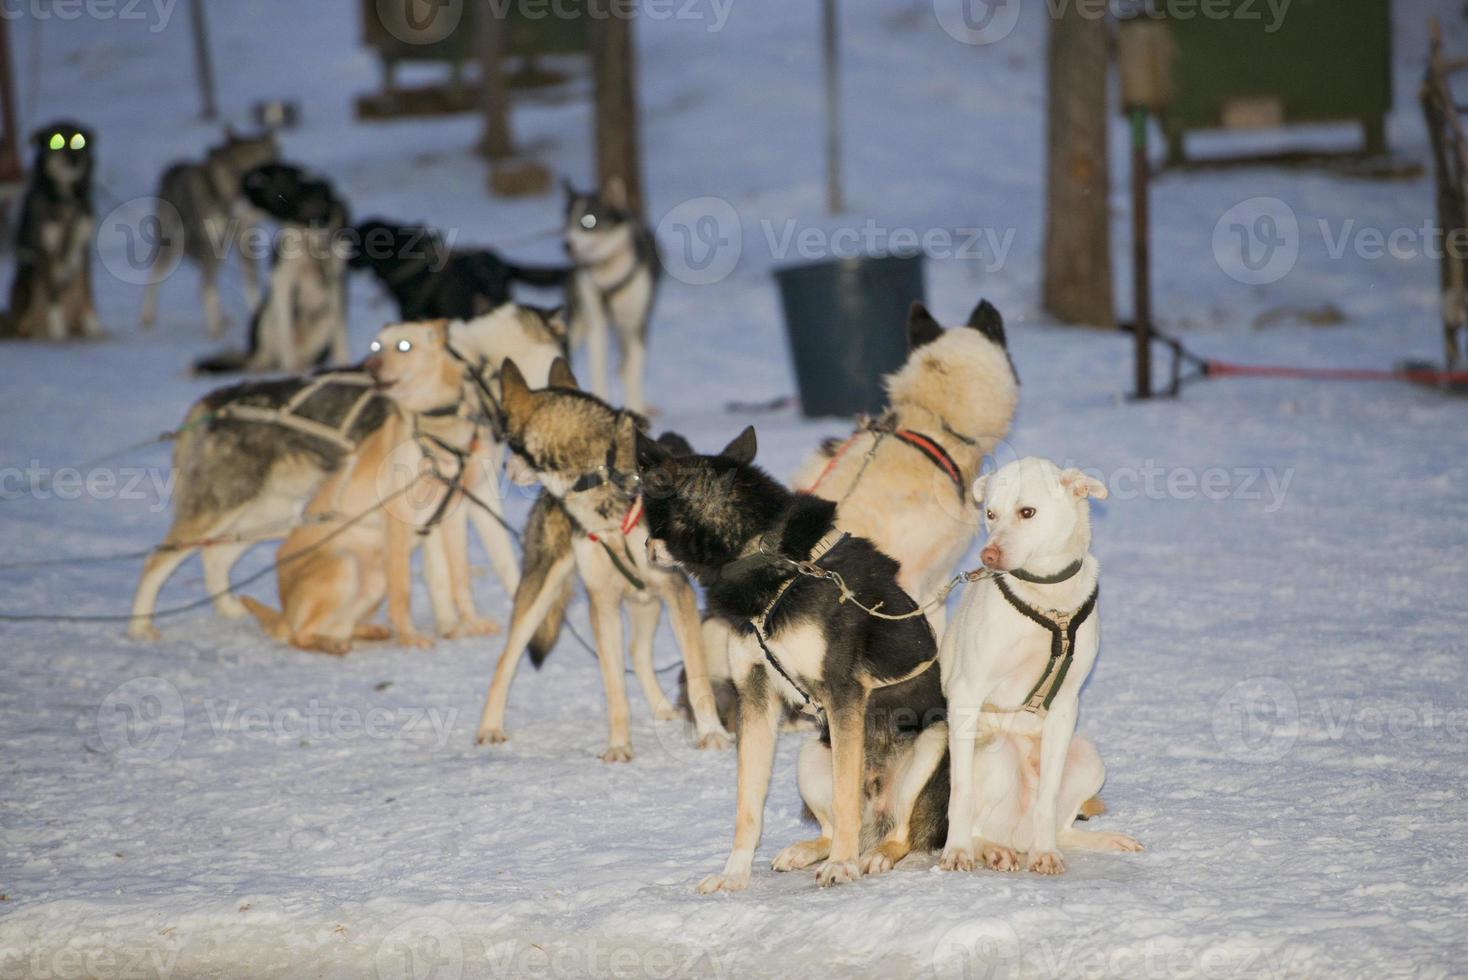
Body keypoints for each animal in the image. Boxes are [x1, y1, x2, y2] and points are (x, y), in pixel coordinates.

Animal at [2, 122, 99, 340]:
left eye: (79, 141)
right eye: (56, 141)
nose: (74, 160)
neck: (66, 200)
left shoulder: (84, 248)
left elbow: (88, 290)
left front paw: (93, 327)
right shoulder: (45, 251)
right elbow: (52, 295)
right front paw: (57, 331)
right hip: (27, 279)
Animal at [237, 321, 496, 654]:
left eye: (403, 345)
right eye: (376, 346)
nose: (369, 366)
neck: (435, 429)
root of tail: (284, 612)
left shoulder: (452, 514)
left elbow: (461, 578)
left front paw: (471, 622)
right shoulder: (399, 521)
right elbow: (403, 592)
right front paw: (409, 637)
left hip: (373, 580)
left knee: (336, 626)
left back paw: (362, 633)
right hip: (346, 564)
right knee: (300, 635)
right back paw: (331, 645)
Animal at [637, 425, 945, 891]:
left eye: (650, 516)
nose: (643, 546)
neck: (768, 559)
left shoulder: (843, 693)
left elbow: (845, 795)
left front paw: (842, 866)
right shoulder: (755, 696)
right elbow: (748, 805)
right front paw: (734, 873)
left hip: (932, 743)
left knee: (900, 832)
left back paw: (870, 856)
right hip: (809, 757)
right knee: (835, 825)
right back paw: (808, 850)